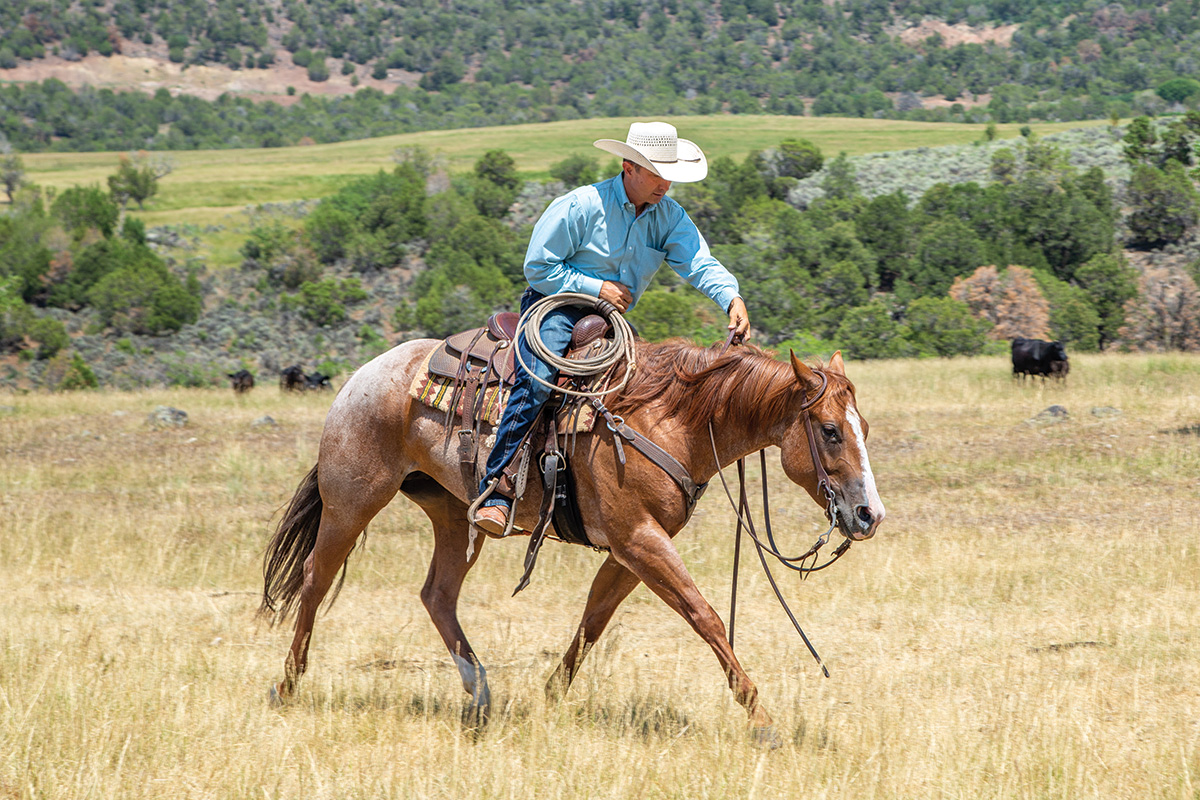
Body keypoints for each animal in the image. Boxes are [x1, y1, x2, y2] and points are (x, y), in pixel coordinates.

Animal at [260, 335, 883, 743]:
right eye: (830, 431)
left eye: (864, 427)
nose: (868, 514)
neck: (668, 418)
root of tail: (359, 378)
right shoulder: (640, 541)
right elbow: (705, 616)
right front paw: (762, 719)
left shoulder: (631, 551)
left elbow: (593, 620)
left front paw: (547, 699)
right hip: (353, 501)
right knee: (315, 580)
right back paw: (286, 686)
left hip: (454, 515)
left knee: (437, 594)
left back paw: (480, 695)